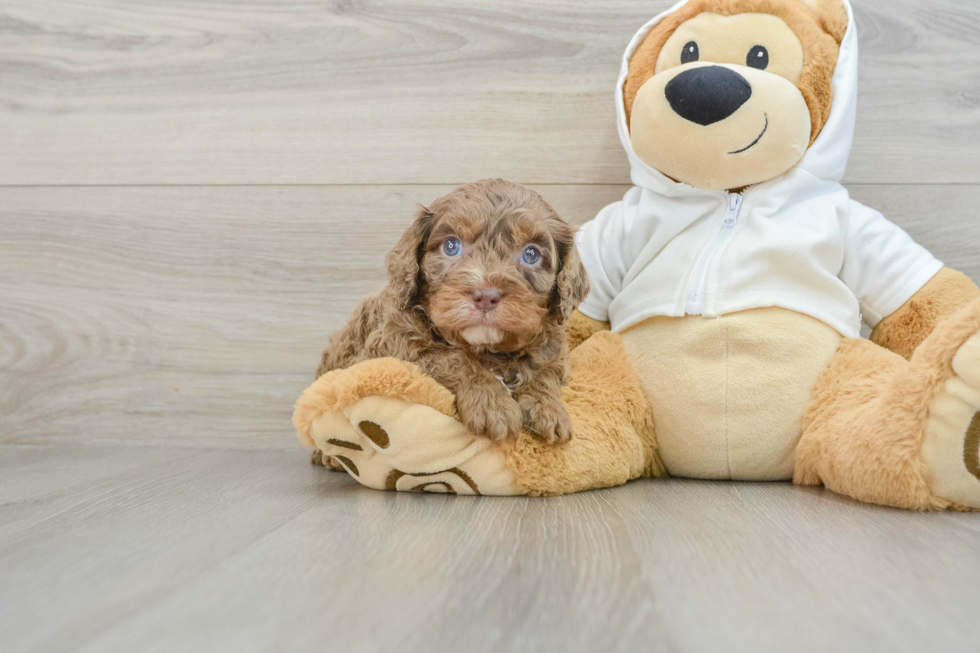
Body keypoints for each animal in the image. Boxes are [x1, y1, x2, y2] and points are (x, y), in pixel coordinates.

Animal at [318, 178, 588, 444]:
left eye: (531, 254)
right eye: (451, 246)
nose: (485, 296)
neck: (487, 350)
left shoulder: (554, 345)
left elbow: (546, 367)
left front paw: (548, 408)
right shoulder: (392, 345)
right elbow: (450, 356)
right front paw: (492, 403)